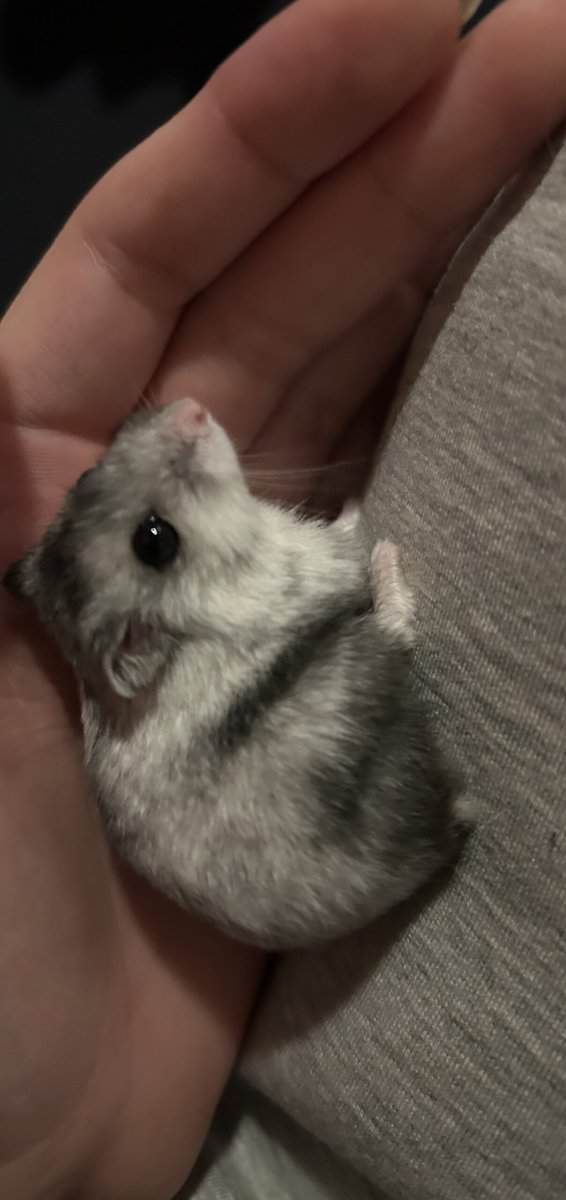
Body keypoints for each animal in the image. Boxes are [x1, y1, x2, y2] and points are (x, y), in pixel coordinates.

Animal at [4, 397, 470, 949]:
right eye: (154, 540)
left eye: (83, 474)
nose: (192, 408)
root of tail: (435, 843)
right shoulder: (316, 560)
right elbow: (351, 546)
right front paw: (359, 510)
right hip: (362, 662)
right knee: (394, 629)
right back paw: (389, 558)